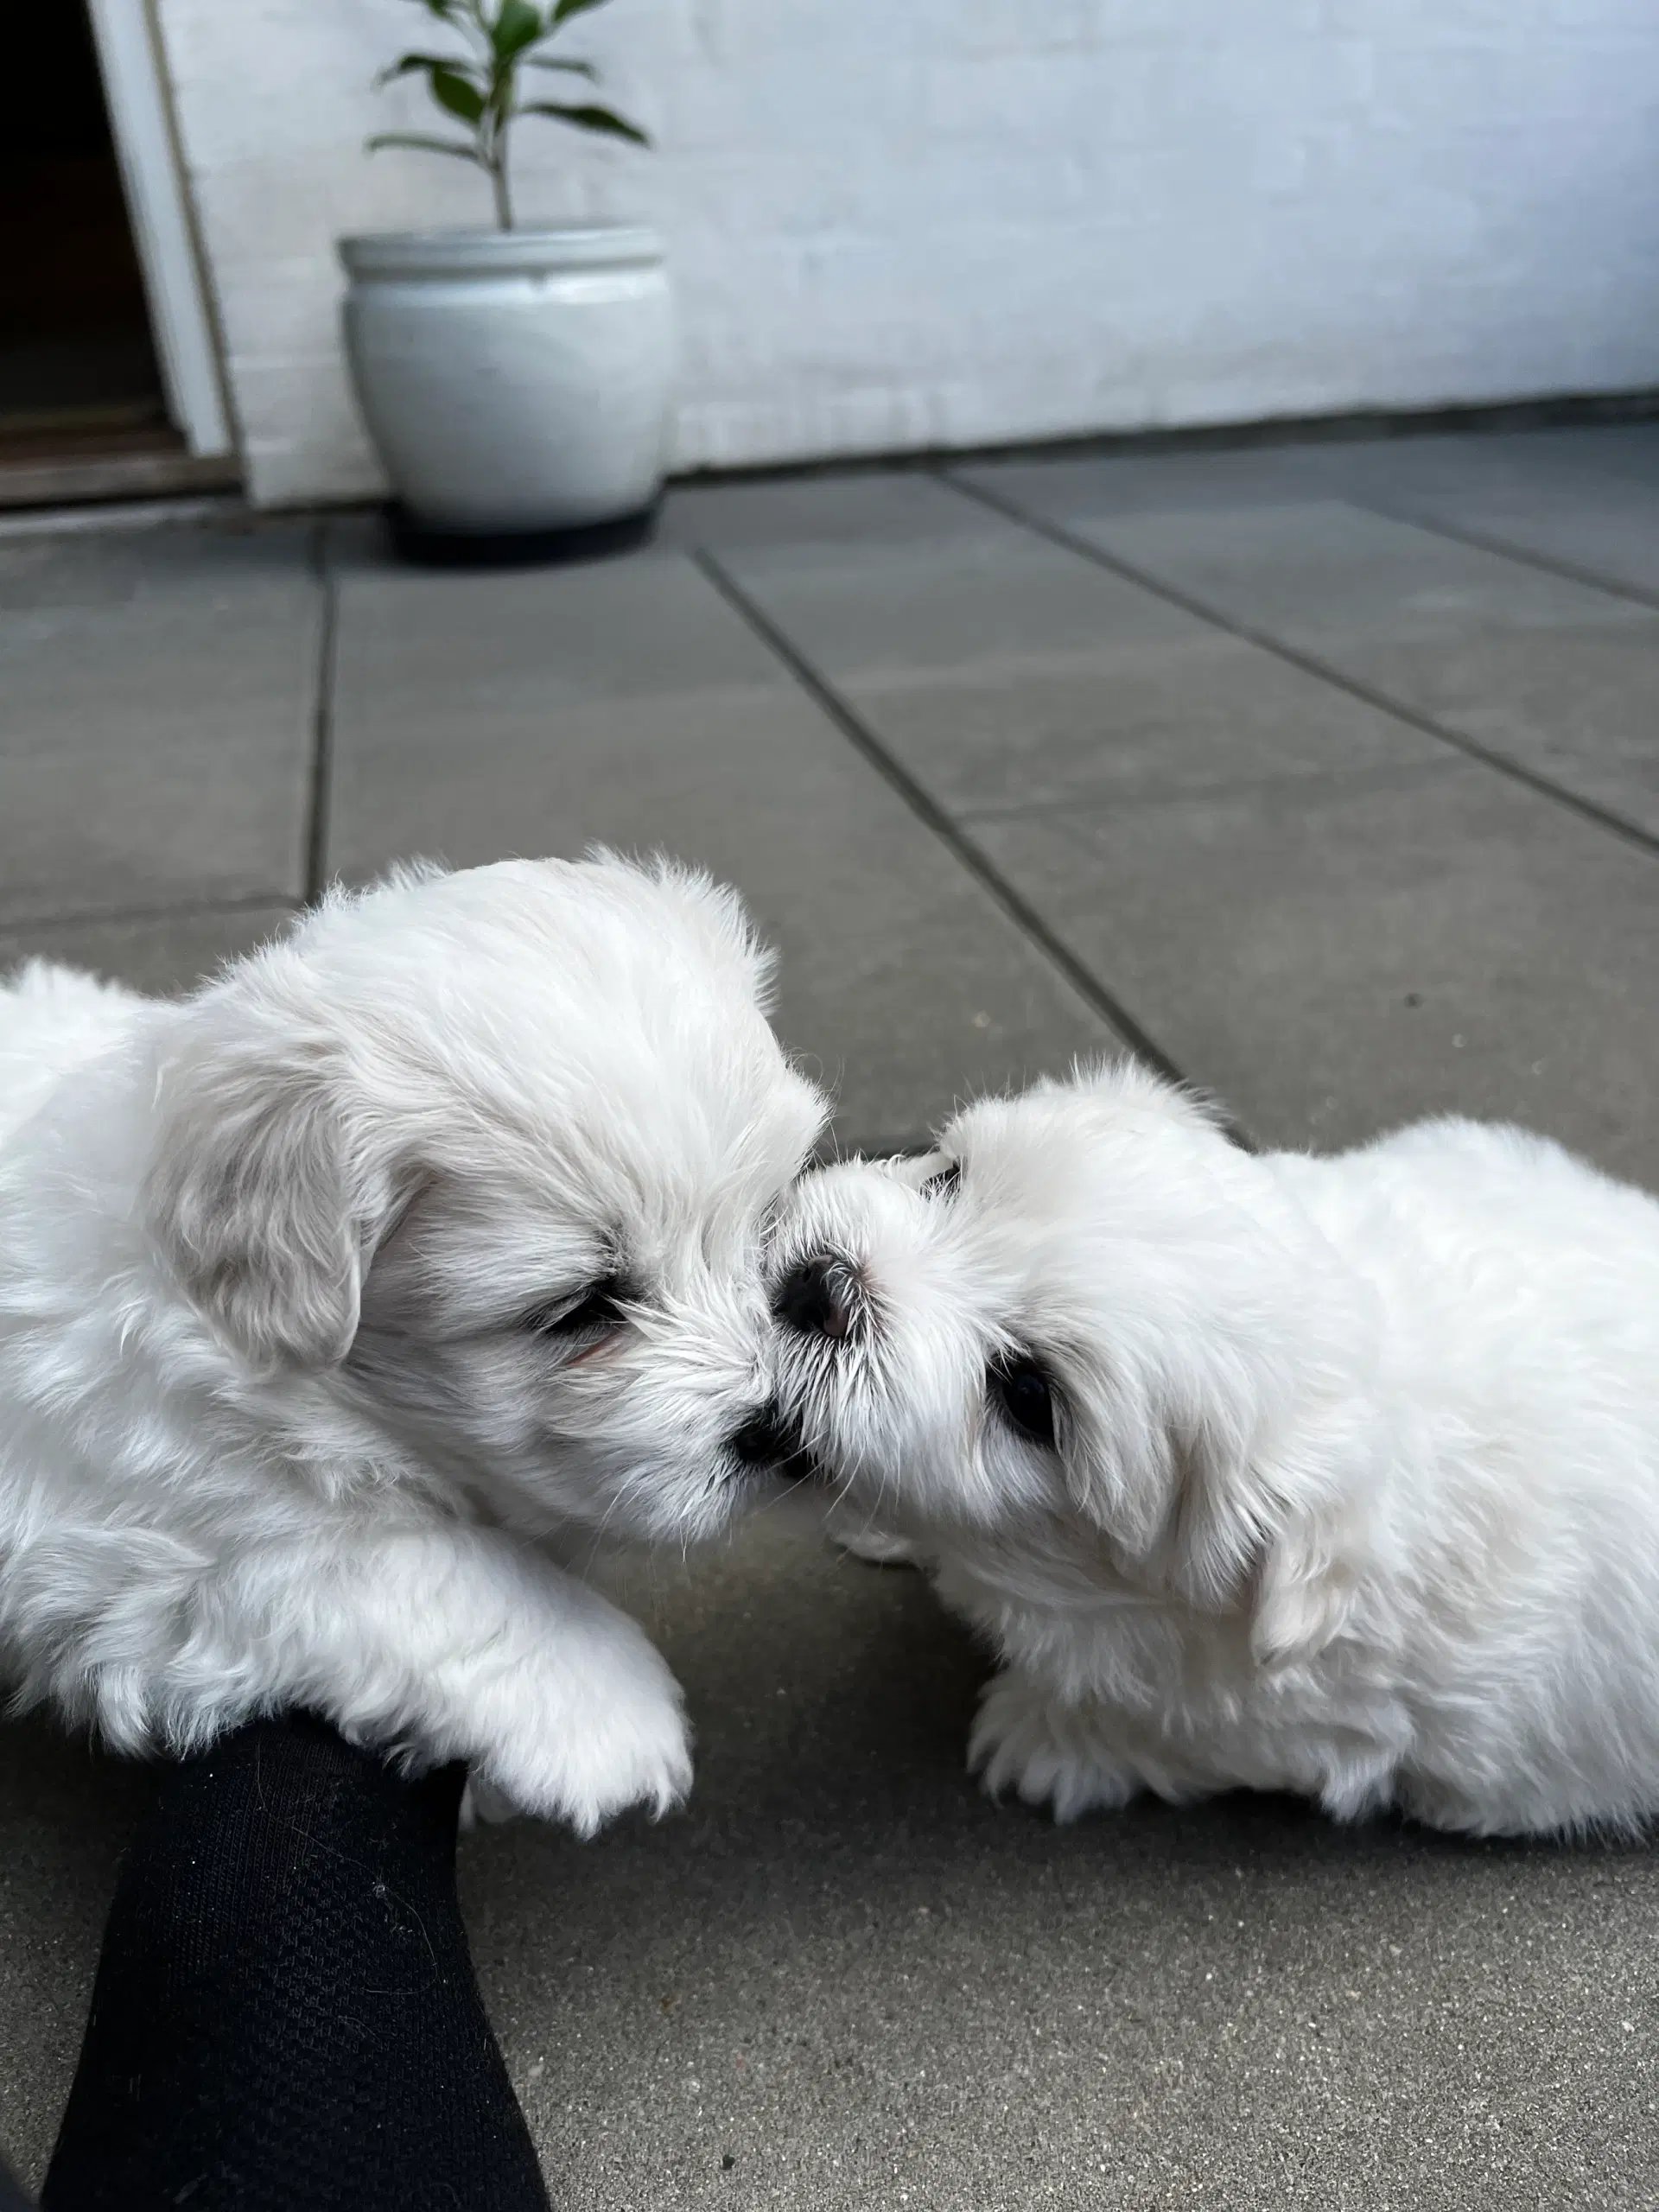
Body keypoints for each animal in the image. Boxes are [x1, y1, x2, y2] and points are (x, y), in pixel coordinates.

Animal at [0, 858, 827, 1831]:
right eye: (582, 1307)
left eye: (764, 1222)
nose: (778, 1433)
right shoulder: (162, 1552)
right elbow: (443, 1570)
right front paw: (613, 1716)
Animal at [769, 1061, 1659, 1840]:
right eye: (949, 1176)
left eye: (1027, 1397)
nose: (821, 1286)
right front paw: (878, 1524)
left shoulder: (1308, 1721)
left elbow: (1162, 1727)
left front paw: (1036, 1737)